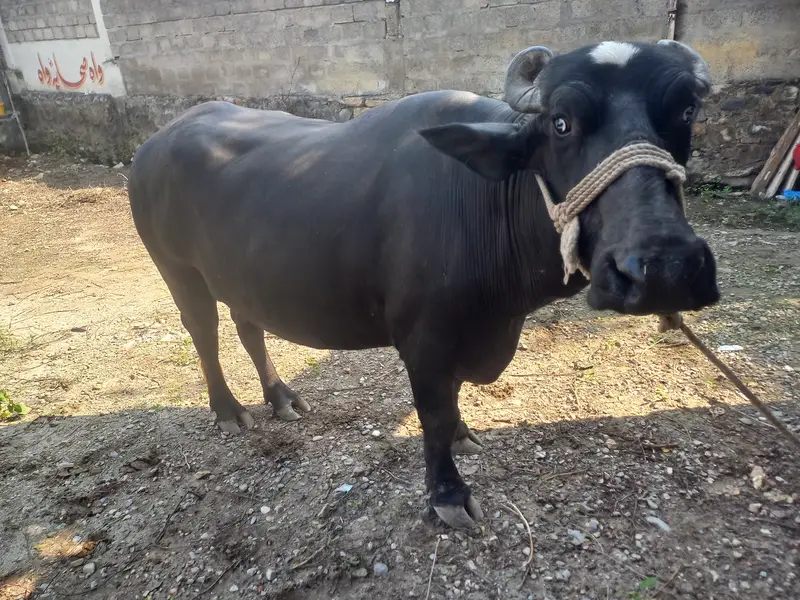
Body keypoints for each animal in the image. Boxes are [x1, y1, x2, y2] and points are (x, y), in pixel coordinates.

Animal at [128, 40, 720, 529]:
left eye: (685, 111)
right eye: (561, 122)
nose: (665, 270)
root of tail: (152, 145)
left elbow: (452, 401)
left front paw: (463, 434)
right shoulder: (423, 336)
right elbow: (433, 411)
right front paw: (448, 494)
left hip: (242, 276)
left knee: (248, 327)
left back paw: (281, 398)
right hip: (177, 270)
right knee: (203, 333)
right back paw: (229, 411)